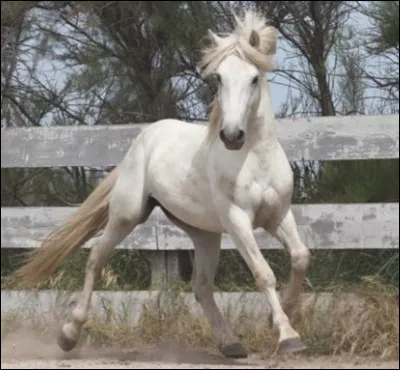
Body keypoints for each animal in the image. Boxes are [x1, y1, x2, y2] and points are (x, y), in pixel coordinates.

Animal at [16, 10, 310, 358]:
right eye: (219, 78)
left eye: (254, 78)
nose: (232, 136)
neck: (255, 159)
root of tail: (144, 138)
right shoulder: (238, 220)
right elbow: (263, 273)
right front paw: (288, 336)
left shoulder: (278, 215)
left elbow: (300, 257)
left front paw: (281, 318)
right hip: (128, 214)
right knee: (96, 258)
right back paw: (69, 334)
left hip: (204, 233)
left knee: (201, 286)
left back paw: (231, 344)